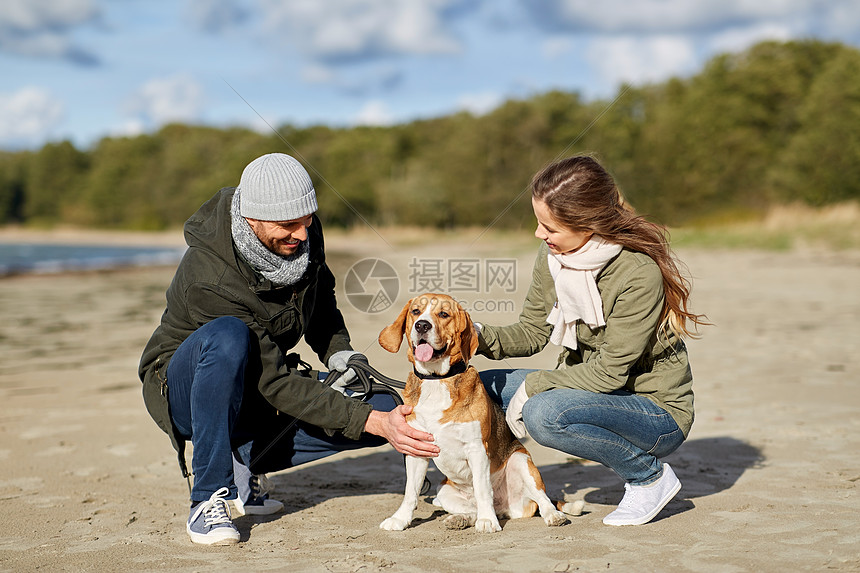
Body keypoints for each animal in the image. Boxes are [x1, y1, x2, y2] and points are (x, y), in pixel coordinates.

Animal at [378, 294, 576, 532]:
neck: (437, 379)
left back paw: (550, 515)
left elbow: (482, 489)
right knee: (472, 509)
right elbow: (410, 492)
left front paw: (487, 522)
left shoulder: (477, 449)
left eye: (443, 314)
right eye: (415, 311)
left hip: (521, 461)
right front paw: (400, 519)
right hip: (443, 492)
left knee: (542, 499)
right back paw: (460, 519)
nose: (422, 325)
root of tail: (502, 507)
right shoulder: (417, 449)